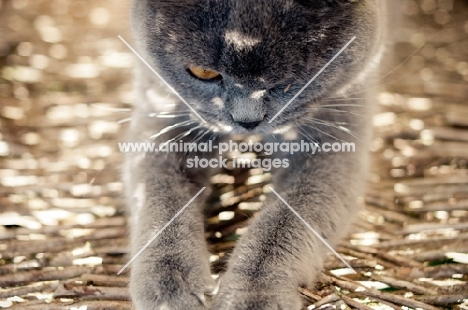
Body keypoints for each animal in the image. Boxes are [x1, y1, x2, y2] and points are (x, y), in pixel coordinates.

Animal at [122, 1, 386, 308]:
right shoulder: (165, 111)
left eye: (288, 81)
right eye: (202, 72)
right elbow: (159, 196)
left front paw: (254, 291)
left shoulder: (335, 129)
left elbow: (289, 217)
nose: (246, 120)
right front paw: (169, 283)